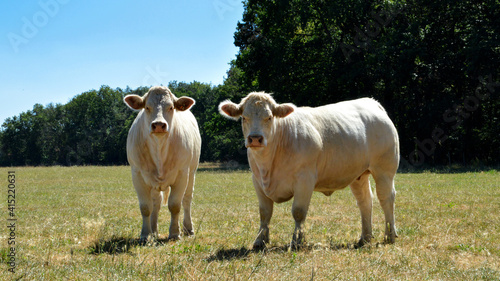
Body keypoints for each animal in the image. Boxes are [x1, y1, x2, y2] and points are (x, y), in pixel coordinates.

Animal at [124, 86, 200, 241]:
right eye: (147, 107)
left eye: (171, 107)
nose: (159, 125)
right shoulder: (137, 175)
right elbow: (146, 207)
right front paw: (145, 234)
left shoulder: (182, 174)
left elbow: (175, 205)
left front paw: (175, 233)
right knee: (156, 203)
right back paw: (154, 231)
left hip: (192, 172)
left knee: (187, 199)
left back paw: (188, 229)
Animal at [221, 92, 400, 247]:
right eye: (244, 117)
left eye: (269, 117)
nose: (255, 138)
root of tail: (371, 102)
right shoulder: (257, 181)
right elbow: (265, 212)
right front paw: (260, 241)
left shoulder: (305, 179)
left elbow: (298, 212)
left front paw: (297, 241)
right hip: (358, 175)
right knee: (365, 201)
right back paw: (365, 237)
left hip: (384, 170)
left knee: (386, 198)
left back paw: (389, 236)